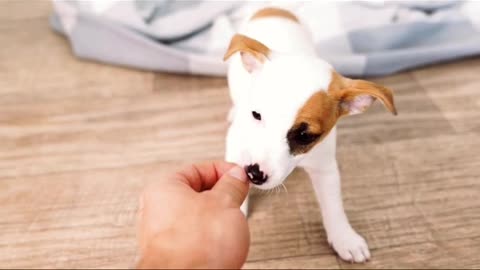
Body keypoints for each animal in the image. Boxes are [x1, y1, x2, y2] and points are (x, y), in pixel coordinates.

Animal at [223, 6, 396, 264]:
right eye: (256, 115)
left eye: (305, 136)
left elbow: (333, 204)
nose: (254, 173)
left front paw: (344, 237)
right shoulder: (236, 146)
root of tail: (273, 8)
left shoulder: (325, 167)